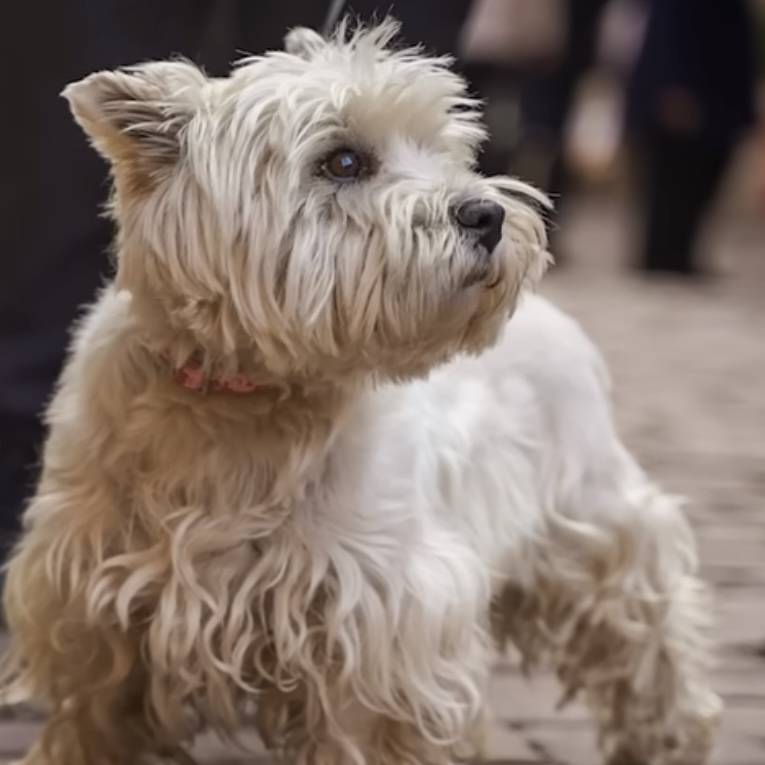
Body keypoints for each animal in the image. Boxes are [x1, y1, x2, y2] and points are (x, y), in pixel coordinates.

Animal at [1, 20, 716, 760]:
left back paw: (667, 732)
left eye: (448, 151)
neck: (240, 397)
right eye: (342, 162)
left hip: (592, 517)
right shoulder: (95, 605)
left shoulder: (378, 622)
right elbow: (94, 716)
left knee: (649, 623)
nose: (487, 215)